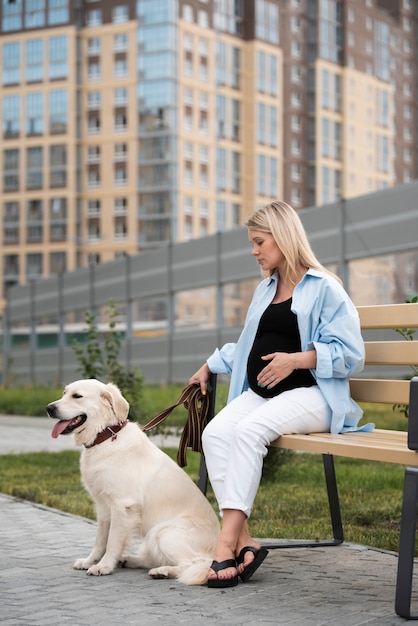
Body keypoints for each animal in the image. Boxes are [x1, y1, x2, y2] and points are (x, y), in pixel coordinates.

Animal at [46, 378, 219, 584]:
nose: (49, 408)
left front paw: (104, 566)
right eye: (64, 393)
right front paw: (90, 561)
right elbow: (100, 540)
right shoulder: (102, 506)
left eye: (77, 396)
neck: (104, 437)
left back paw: (163, 571)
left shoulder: (122, 506)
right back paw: (129, 560)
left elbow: (112, 541)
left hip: (163, 532)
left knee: (194, 563)